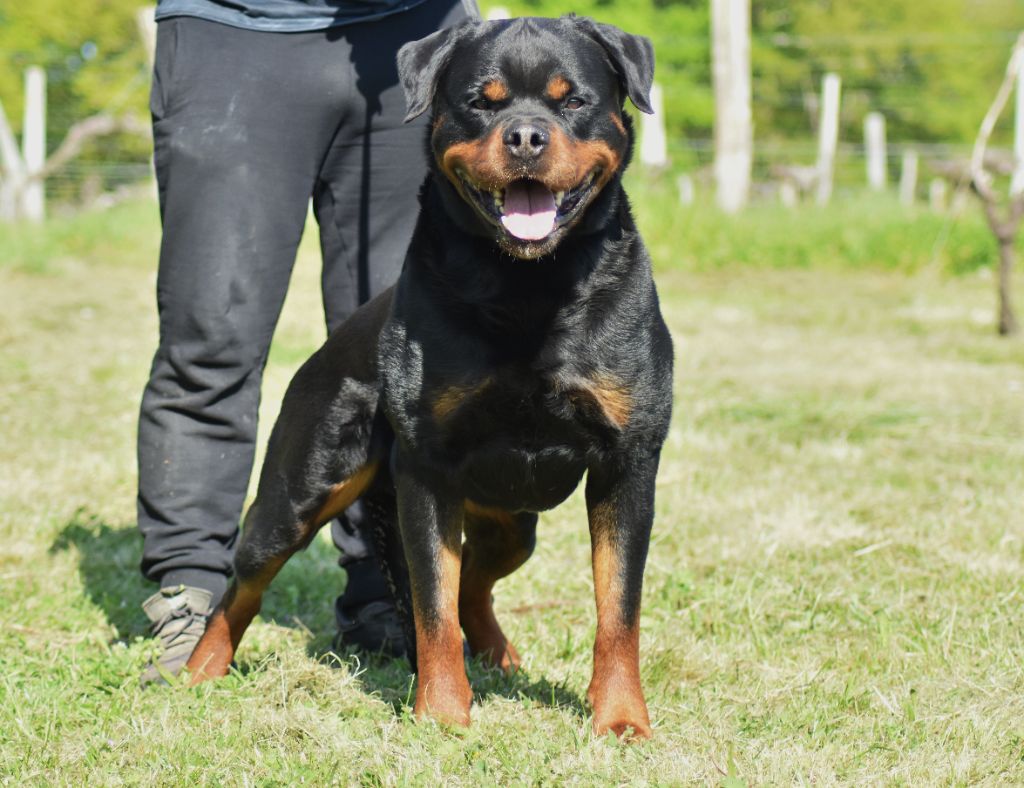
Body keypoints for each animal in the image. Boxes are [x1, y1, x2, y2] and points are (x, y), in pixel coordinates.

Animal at [185, 15, 674, 740]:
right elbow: (432, 603)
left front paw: (619, 719)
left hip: (512, 521)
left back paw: (497, 654)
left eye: (573, 101)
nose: (524, 137)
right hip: (298, 489)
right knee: (243, 583)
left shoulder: (628, 463)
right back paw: (195, 670)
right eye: (480, 102)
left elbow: (619, 608)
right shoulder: (427, 466)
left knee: (476, 577)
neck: (529, 285)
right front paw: (442, 714)